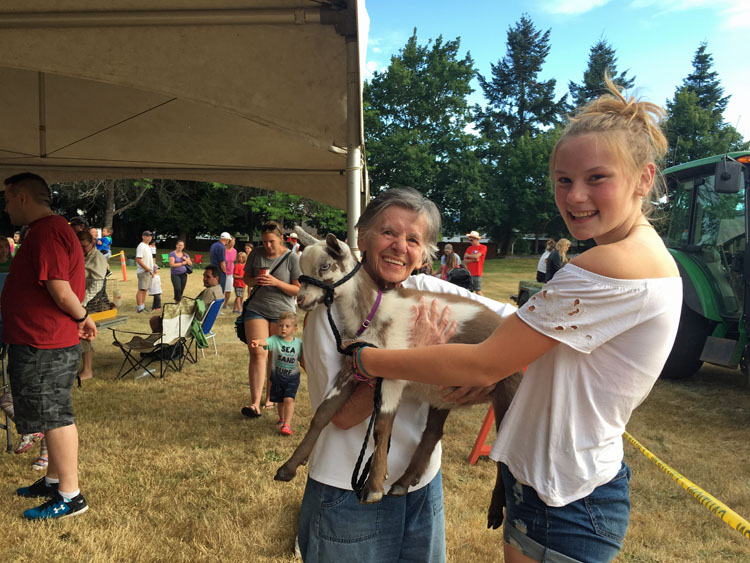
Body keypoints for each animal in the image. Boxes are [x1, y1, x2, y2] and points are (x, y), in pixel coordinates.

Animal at [278, 234, 524, 528]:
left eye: (325, 266)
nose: (302, 300)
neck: (371, 313)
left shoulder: (393, 373)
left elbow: (382, 427)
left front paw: (373, 488)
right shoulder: (353, 365)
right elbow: (323, 414)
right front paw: (289, 467)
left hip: (511, 389)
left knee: (506, 451)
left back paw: (496, 511)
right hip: (442, 392)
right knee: (432, 433)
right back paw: (403, 483)